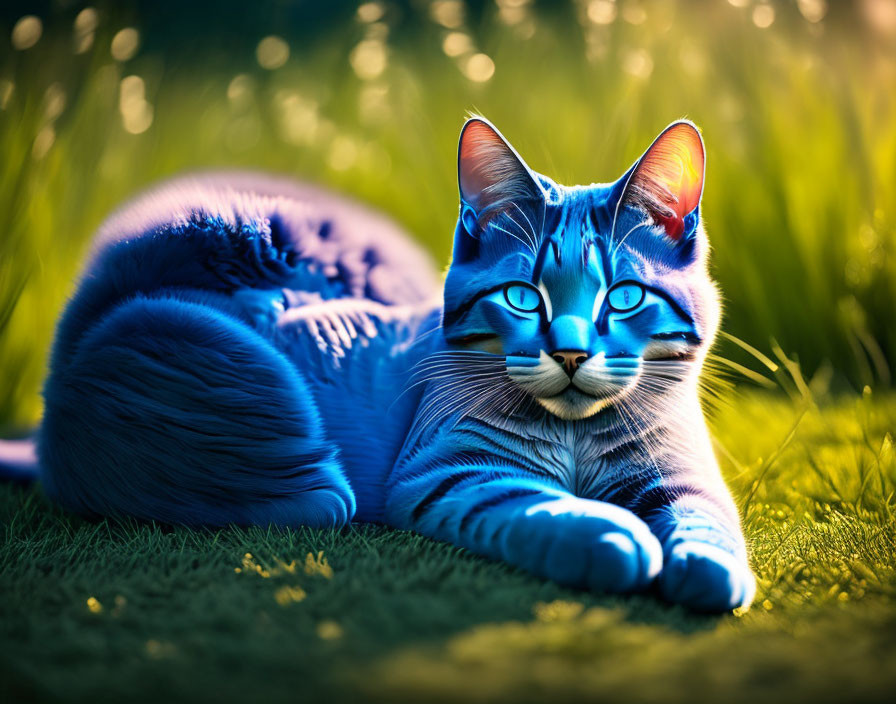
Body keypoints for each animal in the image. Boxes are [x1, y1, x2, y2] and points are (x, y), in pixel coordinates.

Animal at [0, 117, 756, 612]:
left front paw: (708, 568)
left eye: (623, 297)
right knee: (316, 495)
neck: (575, 435)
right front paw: (609, 535)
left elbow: (706, 519)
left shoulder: (681, 472)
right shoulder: (449, 473)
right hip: (225, 366)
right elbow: (536, 507)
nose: (569, 353)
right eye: (521, 296)